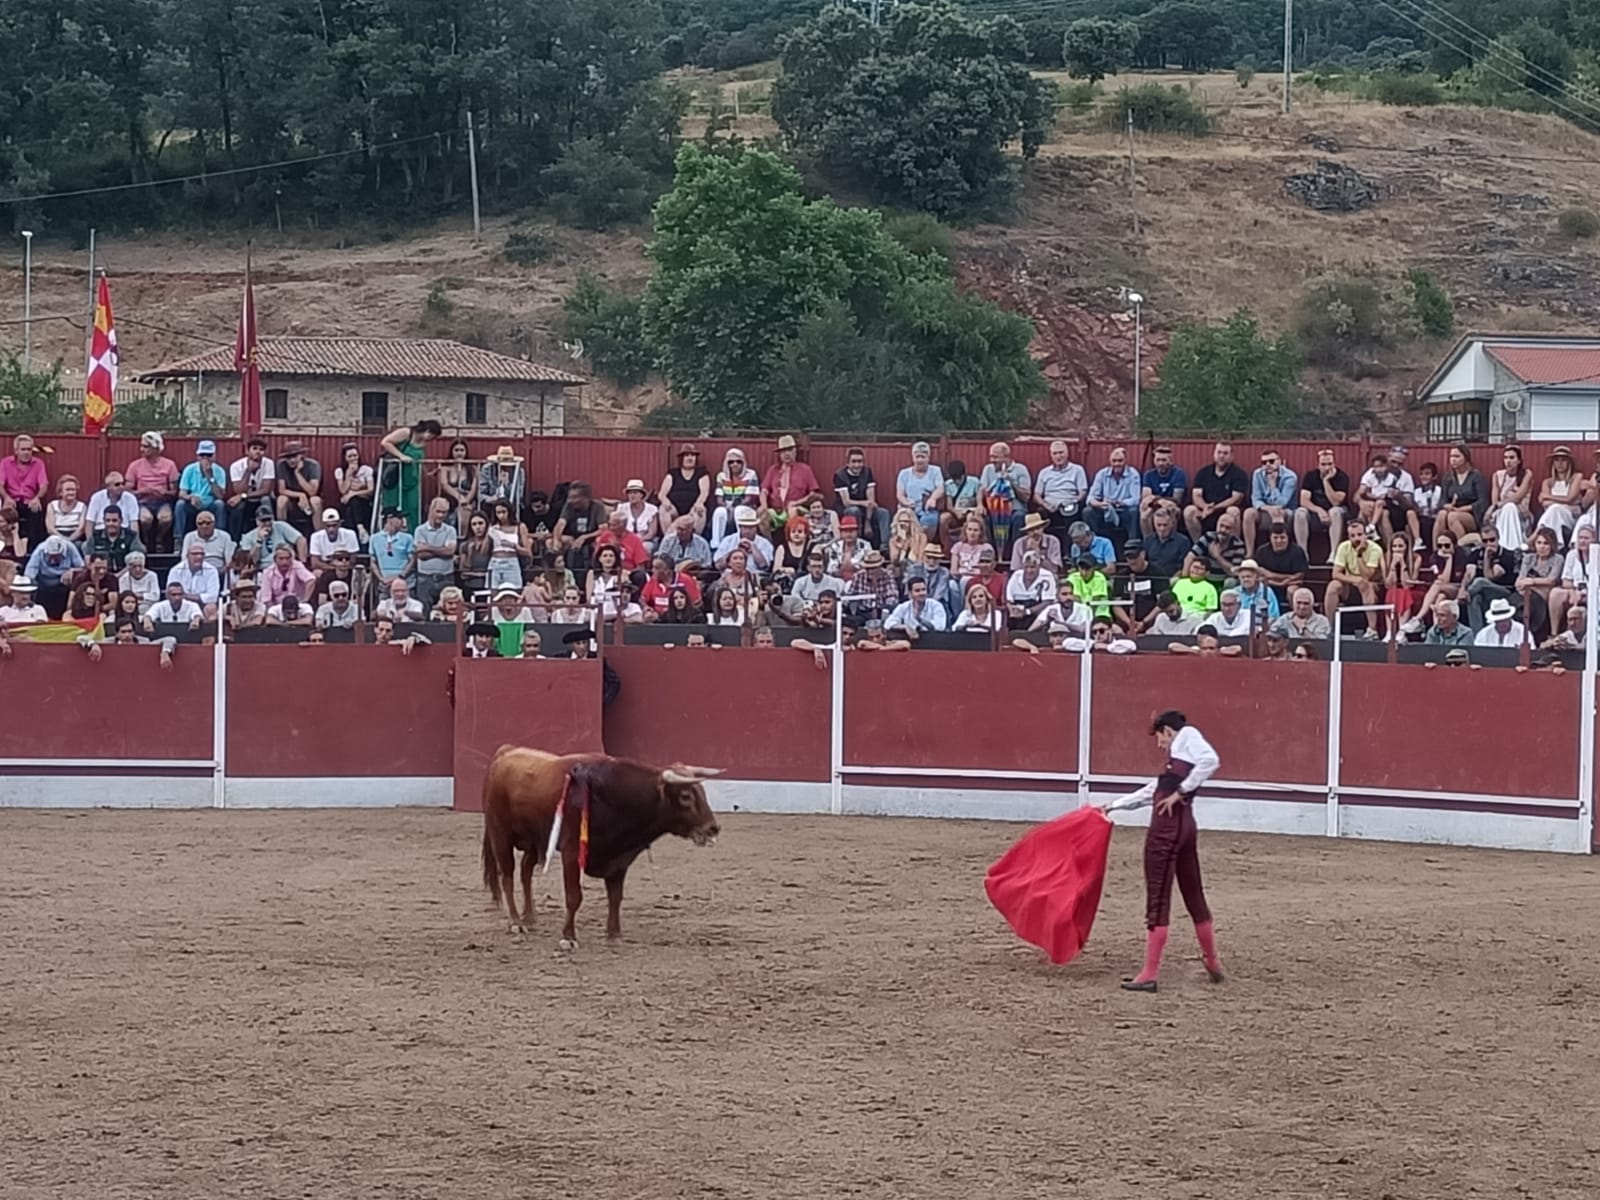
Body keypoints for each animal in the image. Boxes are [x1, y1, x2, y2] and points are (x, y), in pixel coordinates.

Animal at [476, 742, 723, 947]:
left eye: (703, 792)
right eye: (685, 796)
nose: (713, 828)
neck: (614, 796)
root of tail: (505, 752)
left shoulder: (619, 859)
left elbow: (615, 897)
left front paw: (614, 934)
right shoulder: (572, 853)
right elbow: (574, 896)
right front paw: (568, 937)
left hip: (536, 842)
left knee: (525, 871)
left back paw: (530, 916)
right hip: (500, 834)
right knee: (507, 876)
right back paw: (516, 922)